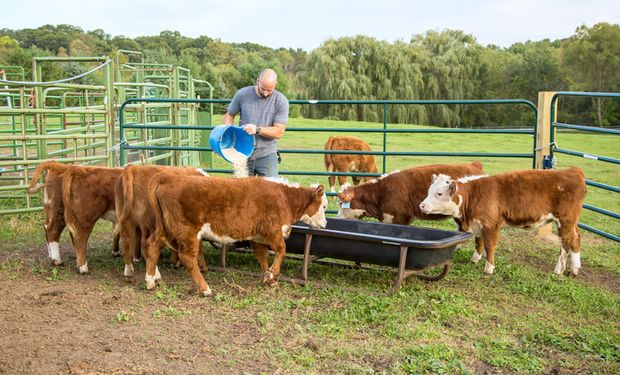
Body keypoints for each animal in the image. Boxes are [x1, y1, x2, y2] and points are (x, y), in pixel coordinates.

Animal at [146, 176, 330, 296]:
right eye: (324, 206)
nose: (325, 224)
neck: (285, 198)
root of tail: (166, 180)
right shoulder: (273, 230)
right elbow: (281, 250)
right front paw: (272, 275)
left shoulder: (257, 236)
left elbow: (262, 257)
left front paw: (268, 279)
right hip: (187, 231)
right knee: (187, 258)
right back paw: (205, 289)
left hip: (166, 229)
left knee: (152, 245)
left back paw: (151, 280)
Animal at [416, 167, 588, 276]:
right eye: (429, 191)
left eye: (439, 193)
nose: (422, 205)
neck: (473, 194)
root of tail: (573, 171)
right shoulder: (478, 223)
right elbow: (478, 242)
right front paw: (475, 259)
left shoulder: (491, 224)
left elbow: (489, 246)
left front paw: (488, 268)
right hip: (572, 223)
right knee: (576, 238)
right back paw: (575, 268)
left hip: (565, 221)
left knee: (566, 242)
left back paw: (559, 269)